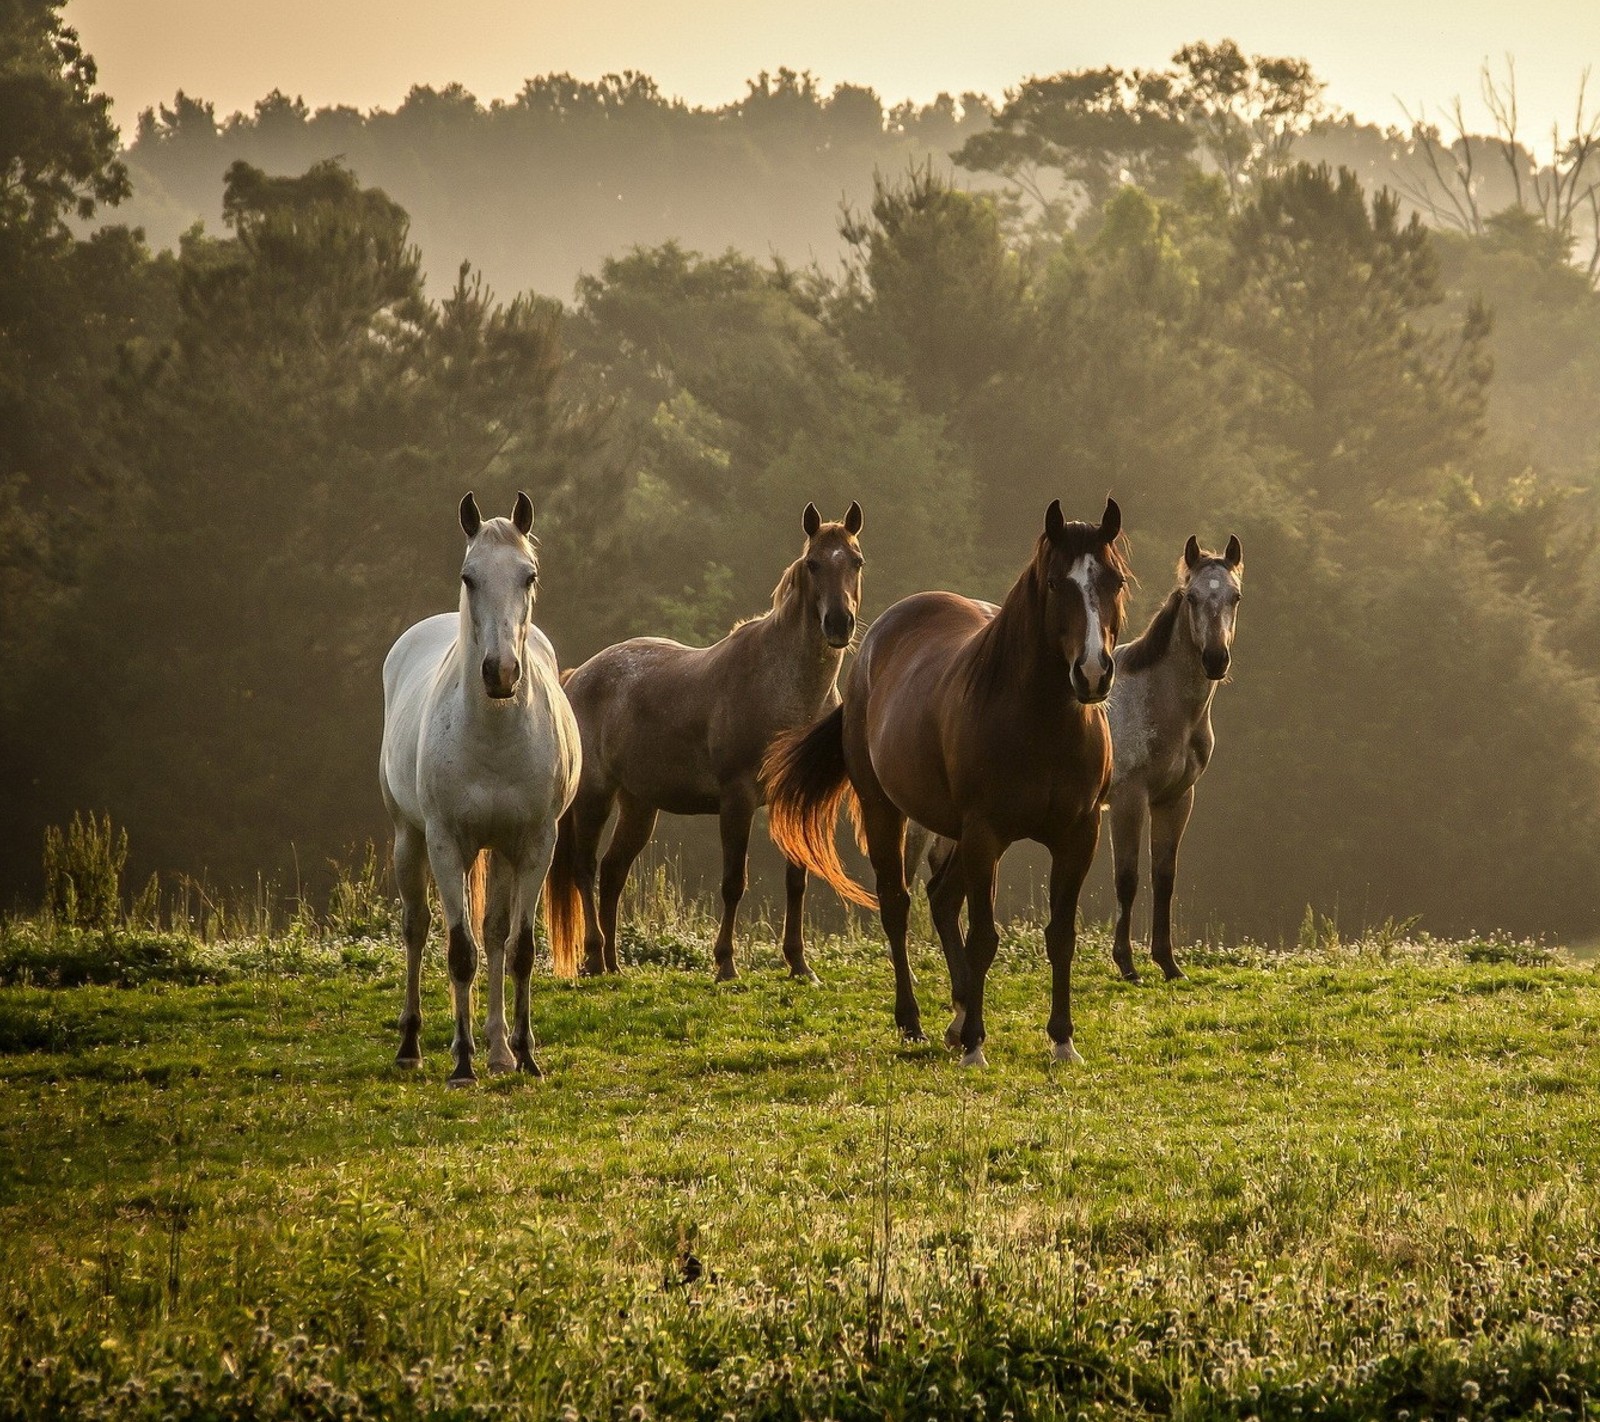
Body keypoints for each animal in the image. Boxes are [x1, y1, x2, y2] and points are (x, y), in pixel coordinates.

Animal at [379, 492, 582, 1081]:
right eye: (468, 576)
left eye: (528, 575)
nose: (501, 672)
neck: (493, 736)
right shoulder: (447, 844)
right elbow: (459, 952)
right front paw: (462, 1064)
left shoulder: (534, 845)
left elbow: (518, 949)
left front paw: (526, 1056)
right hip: (409, 839)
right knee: (417, 928)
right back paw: (414, 1045)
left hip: (501, 851)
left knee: (493, 933)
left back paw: (499, 1050)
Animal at [540, 505, 864, 978]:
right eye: (813, 564)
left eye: (856, 561)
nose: (839, 623)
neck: (784, 688)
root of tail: (577, 676)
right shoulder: (737, 799)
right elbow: (733, 883)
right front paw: (725, 963)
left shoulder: (790, 799)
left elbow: (797, 881)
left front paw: (799, 964)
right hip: (594, 797)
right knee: (585, 869)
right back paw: (595, 956)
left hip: (639, 805)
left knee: (614, 872)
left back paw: (614, 964)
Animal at [768, 499, 1132, 1062]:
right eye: (1055, 584)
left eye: (1113, 580)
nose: (1093, 673)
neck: (1042, 724)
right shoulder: (986, 835)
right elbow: (983, 937)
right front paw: (977, 1045)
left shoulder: (1078, 836)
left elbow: (1061, 935)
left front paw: (1062, 1040)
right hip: (887, 810)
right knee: (898, 905)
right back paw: (914, 1019)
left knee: (940, 899)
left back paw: (958, 1016)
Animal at [908, 531, 1241, 985]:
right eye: (1191, 597)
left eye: (1235, 597)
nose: (1215, 659)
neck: (1158, 699)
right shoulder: (1129, 800)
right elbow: (1128, 879)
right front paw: (1127, 963)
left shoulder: (1176, 799)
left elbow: (1164, 877)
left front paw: (1168, 963)